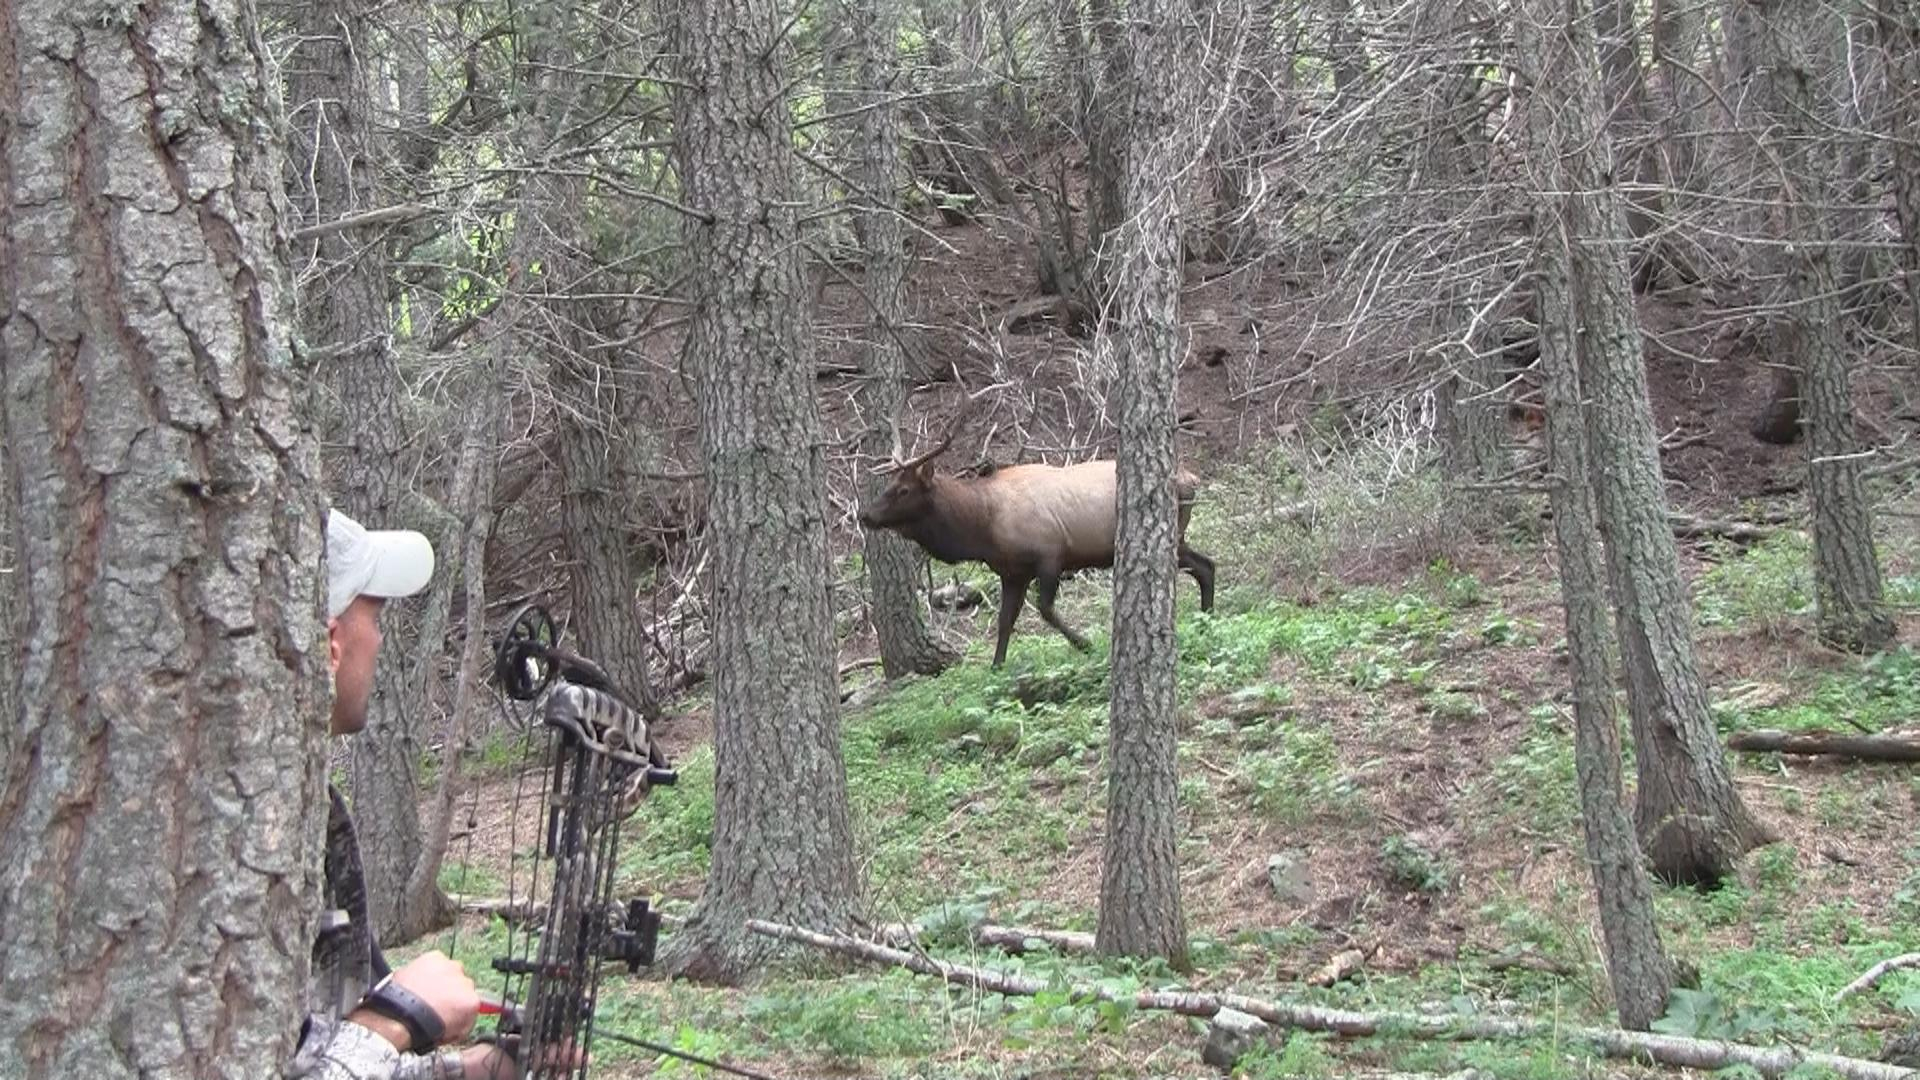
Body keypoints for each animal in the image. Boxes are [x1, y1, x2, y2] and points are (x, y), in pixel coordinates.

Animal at [856, 390, 1217, 668]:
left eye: (903, 490)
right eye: (890, 484)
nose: (864, 514)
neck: (983, 529)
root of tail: (1192, 479)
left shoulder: (1050, 554)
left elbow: (1045, 610)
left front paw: (1085, 643)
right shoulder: (1012, 572)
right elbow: (1005, 621)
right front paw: (996, 667)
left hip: (1172, 536)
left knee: (1205, 565)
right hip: (1178, 536)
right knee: (1206, 564)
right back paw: (1207, 619)